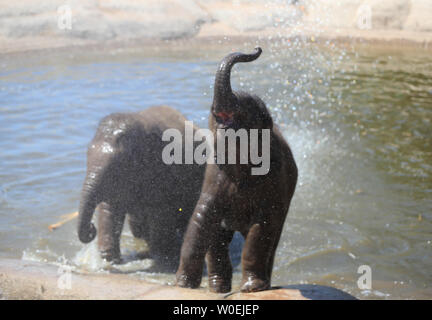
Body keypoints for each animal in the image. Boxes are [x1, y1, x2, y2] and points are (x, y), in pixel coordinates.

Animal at [77, 106, 206, 268]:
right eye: (87, 153)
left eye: (119, 164)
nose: (91, 229)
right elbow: (110, 209)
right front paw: (112, 260)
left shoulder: (166, 171)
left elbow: (161, 213)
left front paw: (159, 257)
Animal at [176, 47, 296, 292]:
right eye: (214, 114)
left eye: (244, 112)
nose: (257, 49)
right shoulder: (214, 174)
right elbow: (201, 218)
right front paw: (182, 285)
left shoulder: (275, 182)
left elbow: (262, 230)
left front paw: (252, 289)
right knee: (217, 238)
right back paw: (217, 289)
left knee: (271, 239)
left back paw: (262, 284)